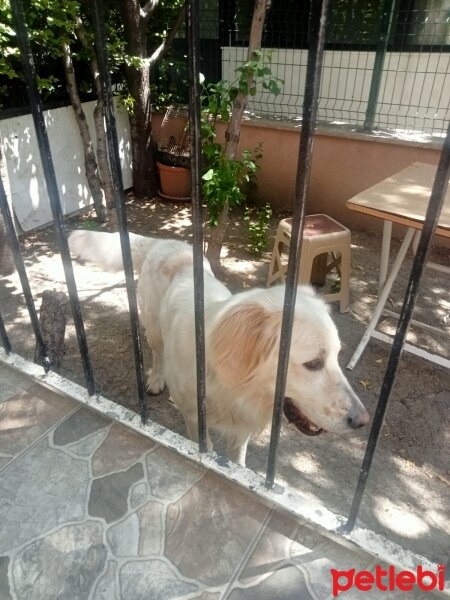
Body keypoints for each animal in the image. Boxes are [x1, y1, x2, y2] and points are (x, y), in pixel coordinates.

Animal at [67, 230, 370, 464]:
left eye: (337, 356)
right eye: (313, 364)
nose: (363, 421)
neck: (229, 386)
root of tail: (162, 242)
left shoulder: (242, 427)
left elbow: (237, 461)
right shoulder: (193, 417)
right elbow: (208, 448)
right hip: (152, 326)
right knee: (157, 350)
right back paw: (155, 378)